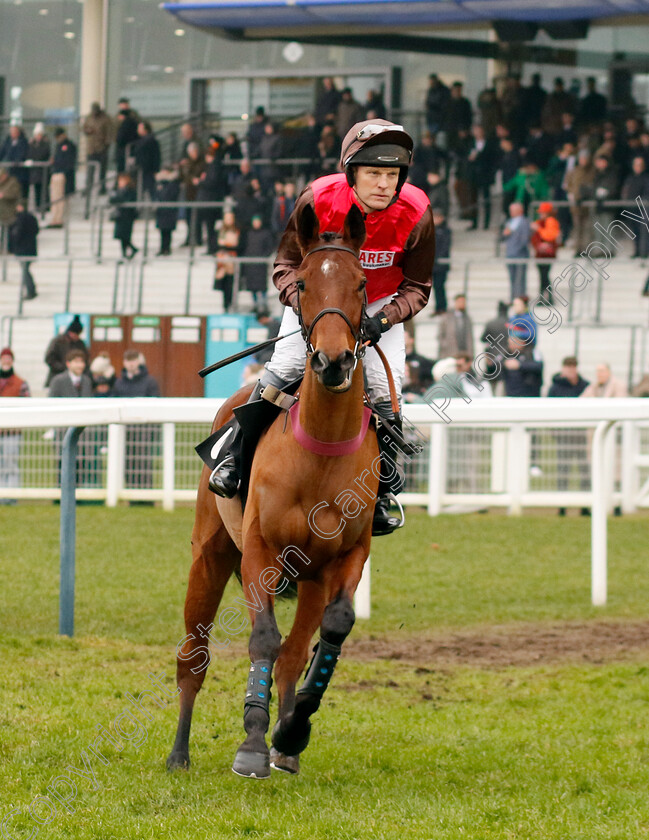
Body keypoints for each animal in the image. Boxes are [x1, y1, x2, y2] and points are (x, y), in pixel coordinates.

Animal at [166, 203, 380, 780]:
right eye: (302, 282)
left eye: (361, 283)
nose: (333, 361)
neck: (321, 454)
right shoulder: (259, 550)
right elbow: (262, 637)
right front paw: (251, 745)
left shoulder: (347, 555)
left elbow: (331, 631)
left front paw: (290, 730)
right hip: (210, 555)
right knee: (193, 657)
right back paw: (179, 753)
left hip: (307, 578)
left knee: (293, 653)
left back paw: (285, 745)